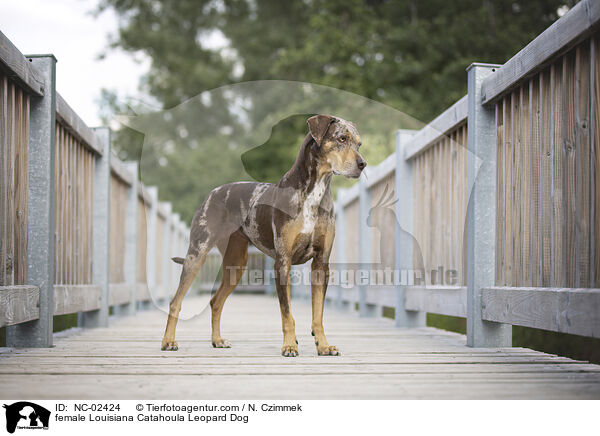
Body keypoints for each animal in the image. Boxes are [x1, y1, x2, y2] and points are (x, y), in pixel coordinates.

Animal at [159, 114, 366, 356]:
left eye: (359, 144)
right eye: (342, 138)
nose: (363, 164)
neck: (314, 193)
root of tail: (212, 193)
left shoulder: (321, 263)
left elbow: (318, 315)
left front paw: (323, 346)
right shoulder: (282, 262)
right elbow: (287, 313)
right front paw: (289, 345)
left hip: (236, 264)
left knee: (215, 301)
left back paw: (217, 340)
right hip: (197, 254)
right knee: (176, 301)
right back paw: (168, 341)